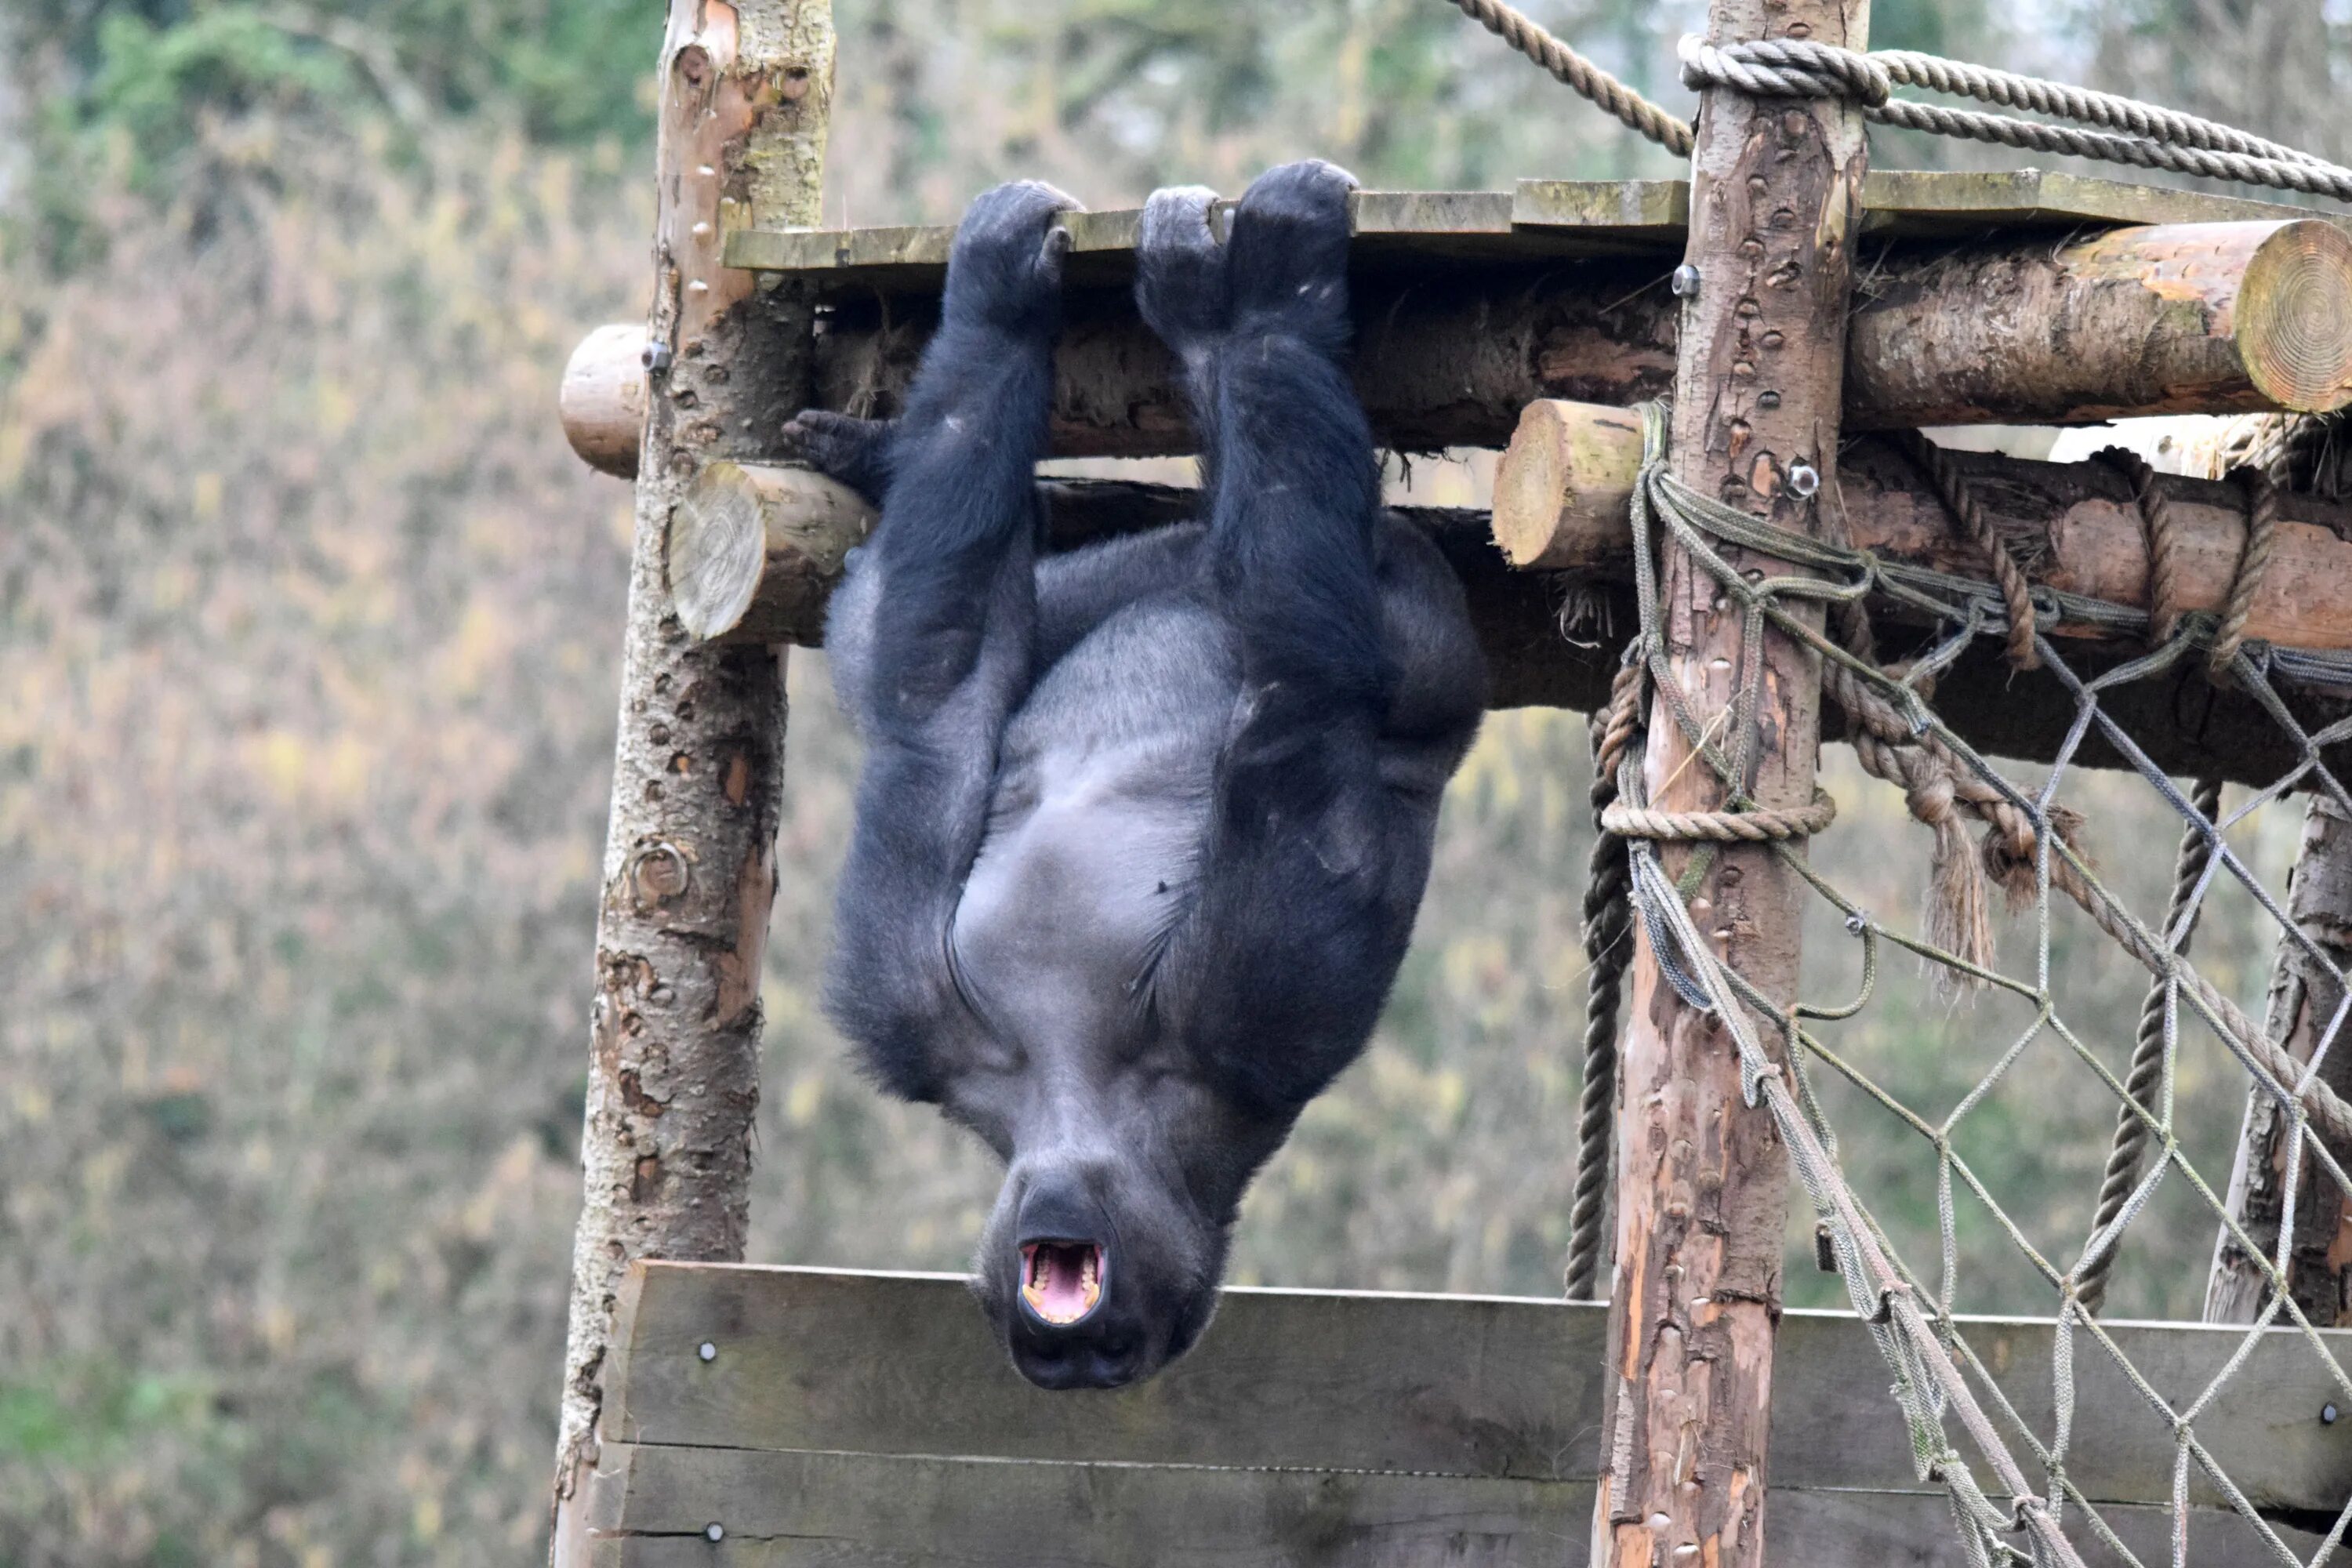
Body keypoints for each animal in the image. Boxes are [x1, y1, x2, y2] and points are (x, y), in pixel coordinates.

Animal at [790, 162, 1486, 1382]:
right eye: (1075, 1355)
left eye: (1108, 1348)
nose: (1072, 1350)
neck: (1077, 1090)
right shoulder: (926, 1023)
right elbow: (934, 695)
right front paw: (999, 314)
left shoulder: (1230, 1013)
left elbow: (1299, 708)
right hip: (1133, 577)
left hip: (1428, 632)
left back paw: (1252, 305)